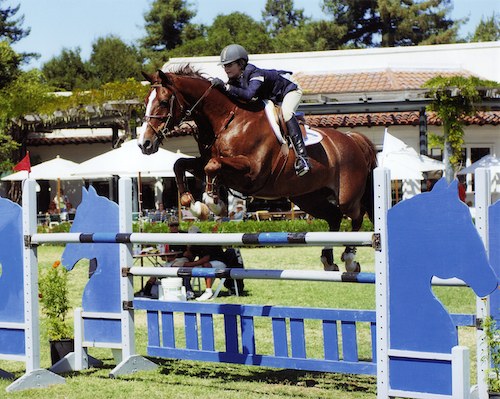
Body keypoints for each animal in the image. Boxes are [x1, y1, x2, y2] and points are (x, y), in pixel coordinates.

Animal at [137, 67, 376, 272]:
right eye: (146, 102)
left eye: (164, 102)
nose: (144, 144)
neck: (227, 120)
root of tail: (353, 139)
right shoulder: (208, 163)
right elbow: (182, 164)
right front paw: (195, 205)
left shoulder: (253, 172)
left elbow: (212, 166)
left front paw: (212, 204)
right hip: (309, 197)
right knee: (334, 217)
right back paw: (328, 259)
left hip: (347, 196)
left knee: (356, 216)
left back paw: (350, 259)